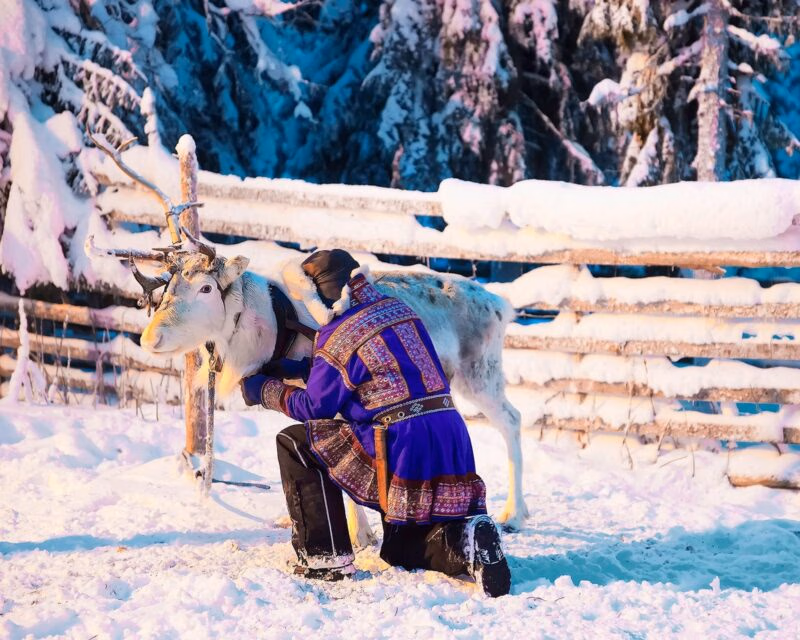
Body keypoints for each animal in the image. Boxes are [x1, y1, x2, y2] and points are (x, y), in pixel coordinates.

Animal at [86, 132, 529, 542]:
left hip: (480, 374)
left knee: (512, 418)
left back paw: (514, 513)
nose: (150, 338)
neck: (265, 325)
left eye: (207, 288)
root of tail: (501, 305)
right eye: (168, 286)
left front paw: (360, 536)